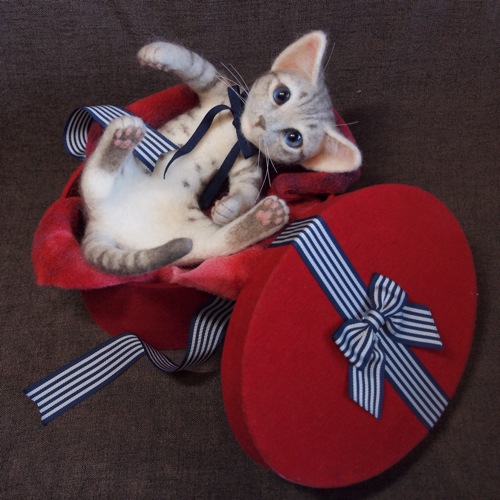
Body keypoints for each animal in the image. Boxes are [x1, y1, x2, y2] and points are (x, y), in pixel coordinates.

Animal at [80, 30, 362, 274]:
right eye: (281, 94)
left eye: (294, 137)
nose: (261, 122)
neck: (236, 132)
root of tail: (102, 225)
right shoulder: (216, 88)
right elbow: (190, 62)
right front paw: (155, 52)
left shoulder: (249, 164)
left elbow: (246, 191)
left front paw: (228, 207)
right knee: (97, 177)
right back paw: (123, 138)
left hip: (191, 239)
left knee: (218, 242)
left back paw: (266, 217)